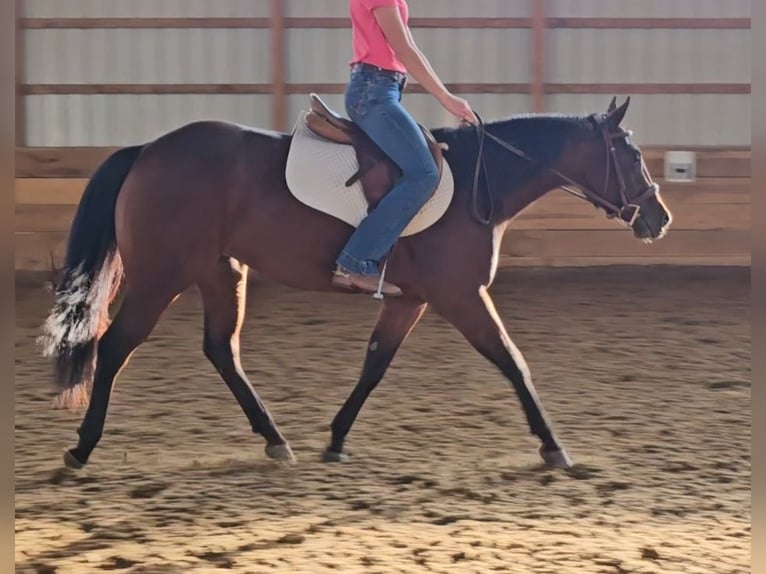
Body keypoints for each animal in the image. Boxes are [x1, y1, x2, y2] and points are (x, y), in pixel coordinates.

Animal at [38, 95, 672, 472]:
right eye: (630, 153)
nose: (658, 217)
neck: (478, 180)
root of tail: (149, 151)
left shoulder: (413, 301)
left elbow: (374, 364)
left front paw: (337, 438)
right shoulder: (461, 297)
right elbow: (513, 362)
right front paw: (553, 446)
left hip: (221, 273)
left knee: (221, 349)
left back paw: (275, 439)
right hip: (159, 278)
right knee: (114, 348)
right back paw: (82, 447)